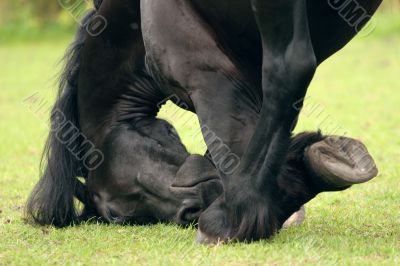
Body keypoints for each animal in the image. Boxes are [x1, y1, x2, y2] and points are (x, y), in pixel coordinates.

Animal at [25, 0, 382, 244]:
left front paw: (239, 216)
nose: (190, 214)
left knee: (289, 69)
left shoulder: (208, 75)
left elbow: (235, 142)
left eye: (116, 213)